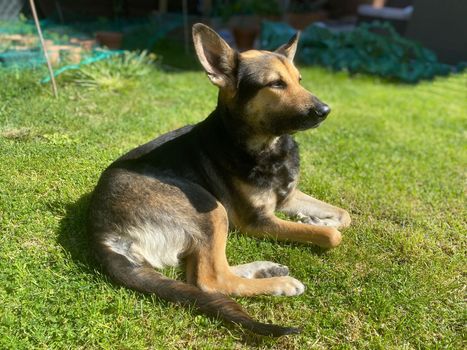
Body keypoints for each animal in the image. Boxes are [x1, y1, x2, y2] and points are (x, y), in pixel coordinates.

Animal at [88, 23, 352, 338]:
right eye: (276, 84)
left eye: (299, 80)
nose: (325, 111)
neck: (268, 147)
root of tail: (101, 231)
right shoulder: (258, 221)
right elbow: (333, 236)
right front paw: (318, 226)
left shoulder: (288, 197)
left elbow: (344, 215)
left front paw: (314, 219)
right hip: (211, 207)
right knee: (211, 280)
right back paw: (278, 284)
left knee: (203, 271)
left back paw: (267, 269)